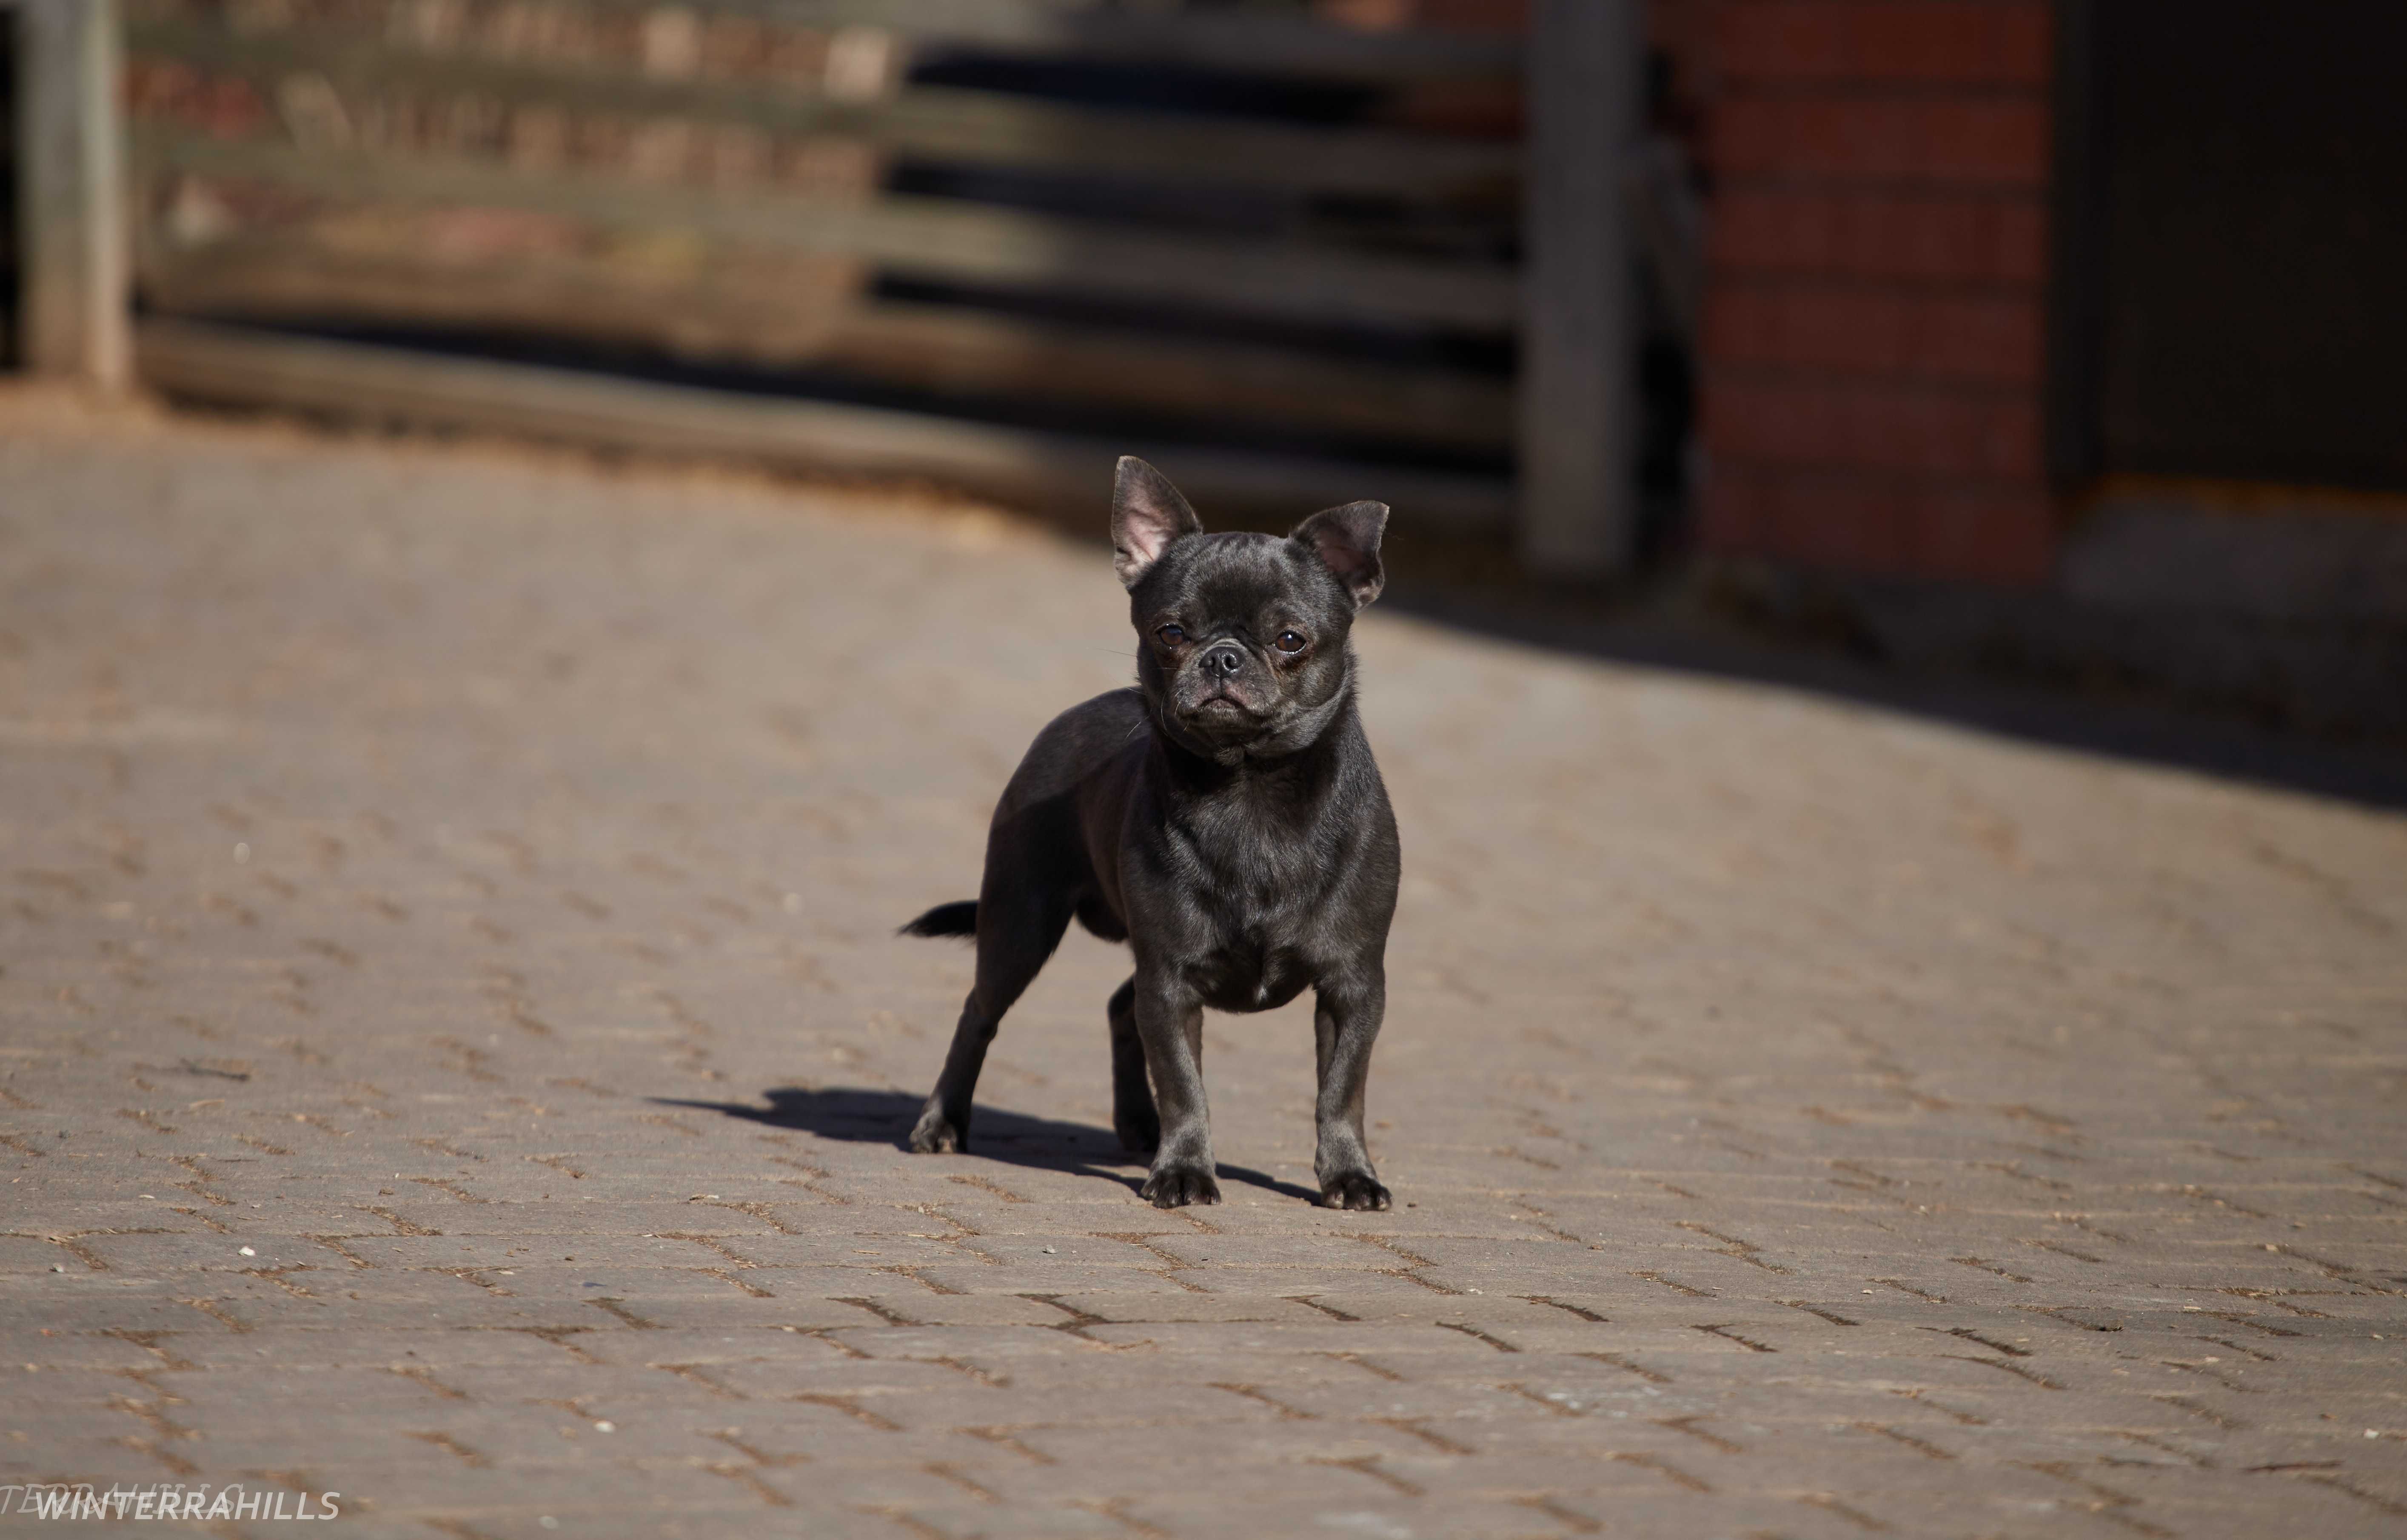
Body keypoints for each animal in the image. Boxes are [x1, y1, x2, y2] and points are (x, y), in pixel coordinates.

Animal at [905, 455, 1406, 1203]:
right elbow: (1183, 1083)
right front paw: (1185, 1170)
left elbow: (1341, 1089)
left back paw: (1136, 1125)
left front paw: (1349, 1174)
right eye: (1170, 632)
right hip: (1020, 925)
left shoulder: (1352, 987)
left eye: (1290, 639)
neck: (1246, 789)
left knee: (1119, 1005)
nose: (1223, 656)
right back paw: (942, 1122)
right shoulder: (1170, 980)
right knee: (979, 1013)